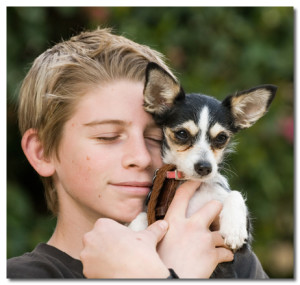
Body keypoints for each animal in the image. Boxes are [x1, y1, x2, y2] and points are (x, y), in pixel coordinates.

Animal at [127, 61, 276, 264]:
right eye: (182, 134)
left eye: (221, 138)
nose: (205, 168)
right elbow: (143, 214)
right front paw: (135, 231)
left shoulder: (246, 239)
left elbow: (235, 194)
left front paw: (234, 229)